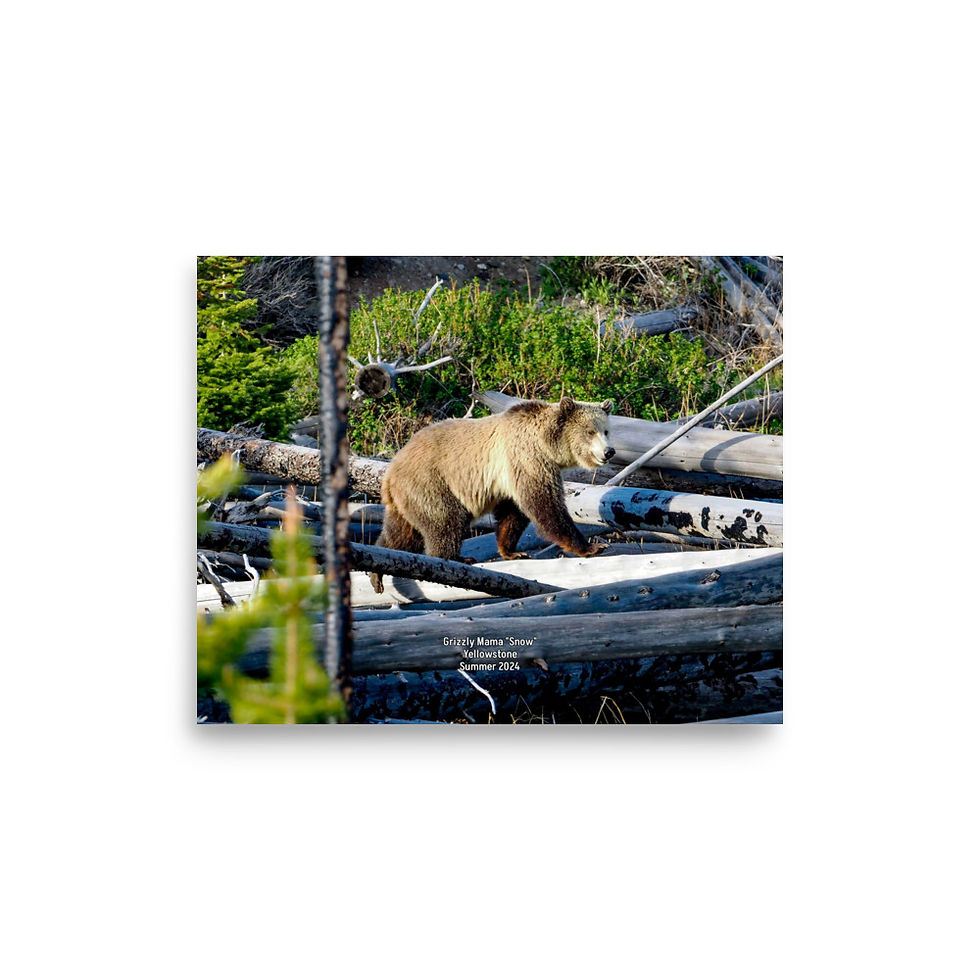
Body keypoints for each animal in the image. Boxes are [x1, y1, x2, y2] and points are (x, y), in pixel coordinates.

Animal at [369, 396, 616, 594]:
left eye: (606, 430)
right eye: (590, 431)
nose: (609, 451)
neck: (547, 444)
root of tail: (390, 472)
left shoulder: (512, 474)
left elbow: (513, 512)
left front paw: (512, 552)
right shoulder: (527, 458)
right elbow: (545, 505)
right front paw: (591, 547)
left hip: (407, 498)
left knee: (400, 532)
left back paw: (378, 570)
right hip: (432, 483)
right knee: (445, 522)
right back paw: (454, 558)